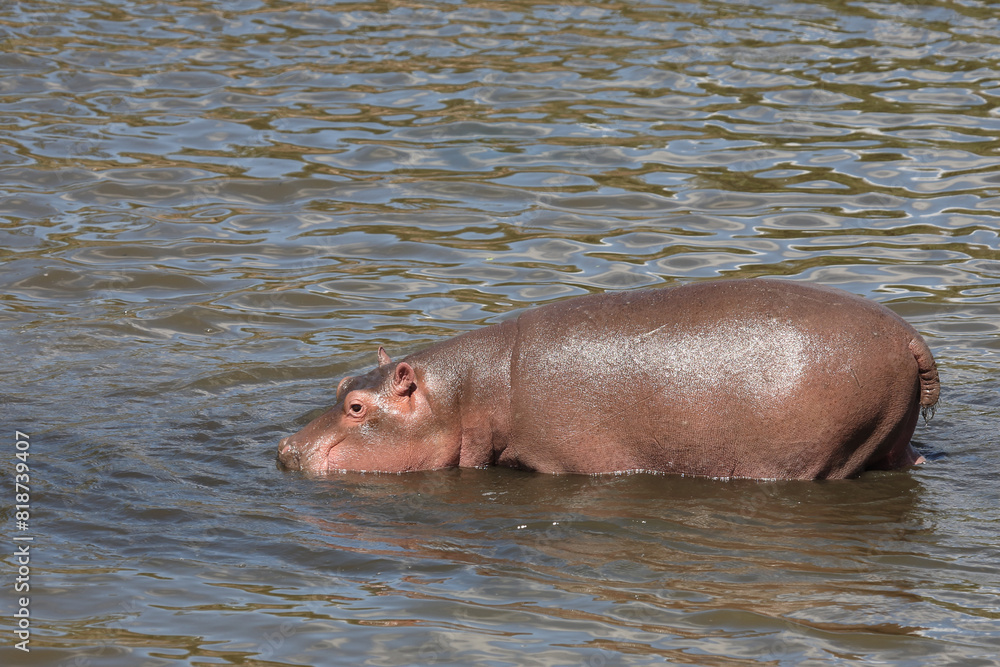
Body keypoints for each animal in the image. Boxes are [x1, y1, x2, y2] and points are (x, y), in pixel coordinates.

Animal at [277, 279, 939, 480]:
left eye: (357, 407)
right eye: (341, 383)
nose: (286, 445)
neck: (467, 392)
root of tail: (911, 337)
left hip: (820, 454)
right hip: (892, 437)